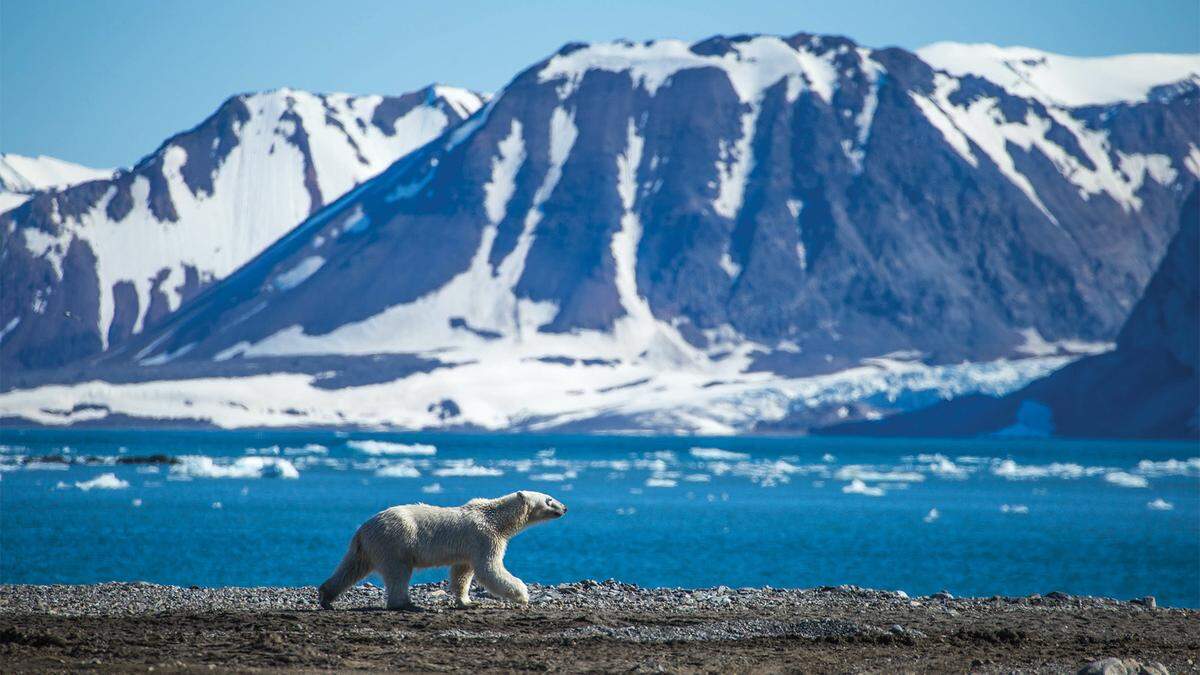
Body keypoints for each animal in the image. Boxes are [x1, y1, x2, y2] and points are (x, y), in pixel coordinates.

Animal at [318, 490, 567, 610]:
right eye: (549, 499)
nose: (564, 507)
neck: (496, 519)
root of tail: (363, 528)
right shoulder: (484, 537)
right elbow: (490, 568)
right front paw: (523, 594)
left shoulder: (468, 548)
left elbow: (462, 573)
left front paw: (467, 601)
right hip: (395, 541)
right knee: (398, 573)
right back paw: (406, 603)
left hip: (366, 547)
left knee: (351, 568)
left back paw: (326, 597)